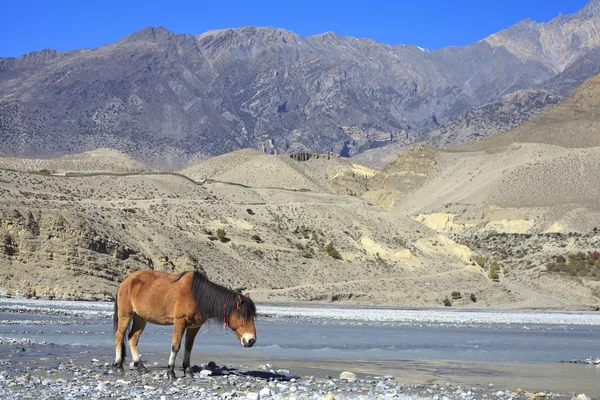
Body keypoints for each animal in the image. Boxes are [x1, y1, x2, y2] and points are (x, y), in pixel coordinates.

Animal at [113, 268, 256, 378]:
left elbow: (188, 347)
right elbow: (176, 346)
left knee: (132, 338)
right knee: (119, 336)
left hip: (140, 318)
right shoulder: (180, 322)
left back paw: (141, 367)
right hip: (126, 315)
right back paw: (118, 365)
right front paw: (171, 372)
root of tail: (126, 281)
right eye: (243, 316)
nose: (251, 340)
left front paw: (188, 371)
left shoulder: (194, 326)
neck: (197, 296)